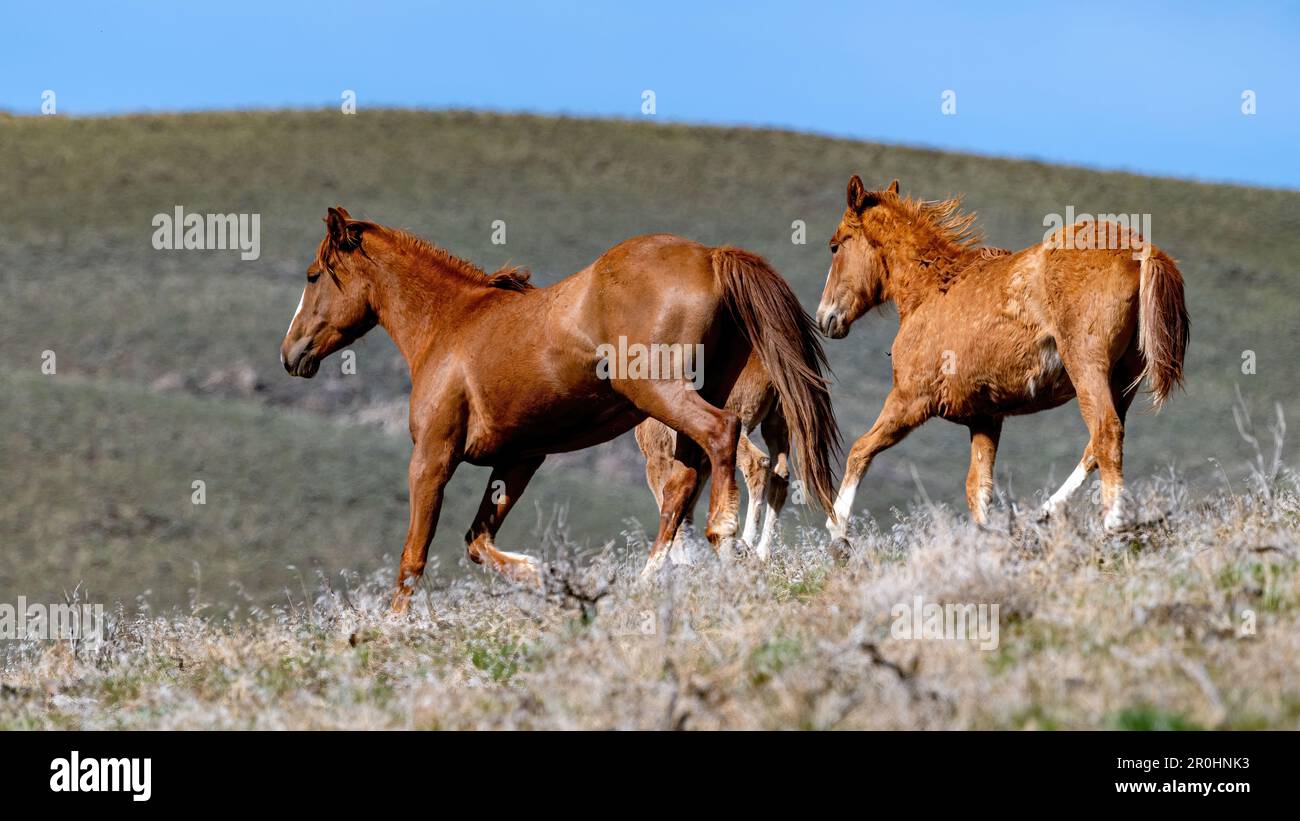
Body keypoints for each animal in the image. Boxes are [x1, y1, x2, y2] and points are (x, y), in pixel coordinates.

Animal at [631, 353, 785, 563]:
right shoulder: (701, 465)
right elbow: (686, 513)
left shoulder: (658, 458)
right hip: (777, 424)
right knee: (782, 476)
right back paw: (762, 554)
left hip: (736, 424)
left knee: (758, 462)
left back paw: (745, 546)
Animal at [821, 176, 1190, 543]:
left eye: (835, 245)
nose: (826, 317)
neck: (930, 290)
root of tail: (1143, 252)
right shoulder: (985, 417)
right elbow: (978, 487)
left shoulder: (910, 400)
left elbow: (860, 449)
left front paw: (837, 530)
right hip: (1123, 381)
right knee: (1095, 446)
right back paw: (1046, 511)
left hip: (1087, 368)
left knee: (1106, 433)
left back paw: (1112, 523)